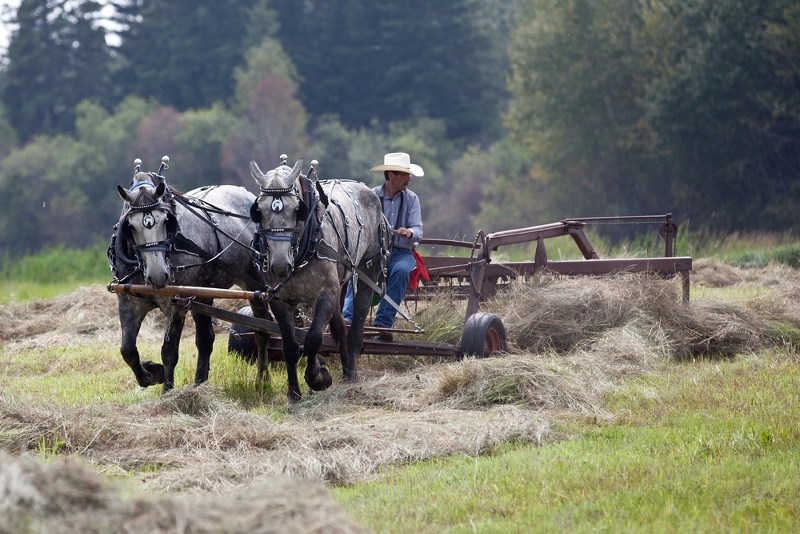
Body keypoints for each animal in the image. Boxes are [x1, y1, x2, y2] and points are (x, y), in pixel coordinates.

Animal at [111, 161, 270, 396]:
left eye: (166, 221)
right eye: (130, 226)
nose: (158, 275)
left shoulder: (176, 304)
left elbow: (169, 351)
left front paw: (167, 393)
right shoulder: (128, 302)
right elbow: (127, 350)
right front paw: (151, 374)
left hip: (254, 282)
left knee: (262, 328)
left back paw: (262, 380)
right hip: (203, 295)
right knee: (205, 340)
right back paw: (199, 384)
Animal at [250, 158, 388, 402]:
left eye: (297, 209)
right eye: (260, 210)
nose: (279, 264)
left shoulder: (324, 294)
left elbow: (313, 339)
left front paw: (318, 377)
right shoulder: (279, 301)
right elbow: (291, 346)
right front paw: (294, 393)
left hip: (368, 267)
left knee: (356, 326)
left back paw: (350, 373)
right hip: (339, 283)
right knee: (340, 329)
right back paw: (345, 369)